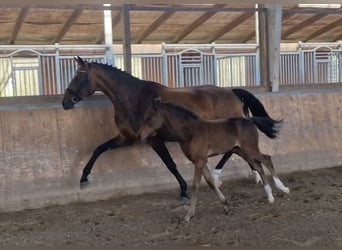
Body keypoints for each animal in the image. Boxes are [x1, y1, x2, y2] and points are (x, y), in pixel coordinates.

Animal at [62, 57, 282, 201]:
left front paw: (184, 192)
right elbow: (99, 149)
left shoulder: (153, 139)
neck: (135, 99)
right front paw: (83, 178)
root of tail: (232, 92)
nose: (65, 102)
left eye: (78, 78)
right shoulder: (127, 137)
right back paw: (254, 176)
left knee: (233, 151)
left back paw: (219, 176)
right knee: (239, 151)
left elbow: (170, 165)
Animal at [138, 98, 288, 222]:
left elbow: (196, 186)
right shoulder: (200, 161)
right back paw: (270, 196)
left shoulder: (199, 161)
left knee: (267, 159)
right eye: (144, 116)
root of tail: (249, 120)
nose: (140, 136)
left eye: (150, 117)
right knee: (258, 166)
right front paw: (226, 206)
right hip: (241, 151)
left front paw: (189, 215)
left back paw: (283, 188)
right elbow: (210, 182)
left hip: (250, 149)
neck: (191, 132)